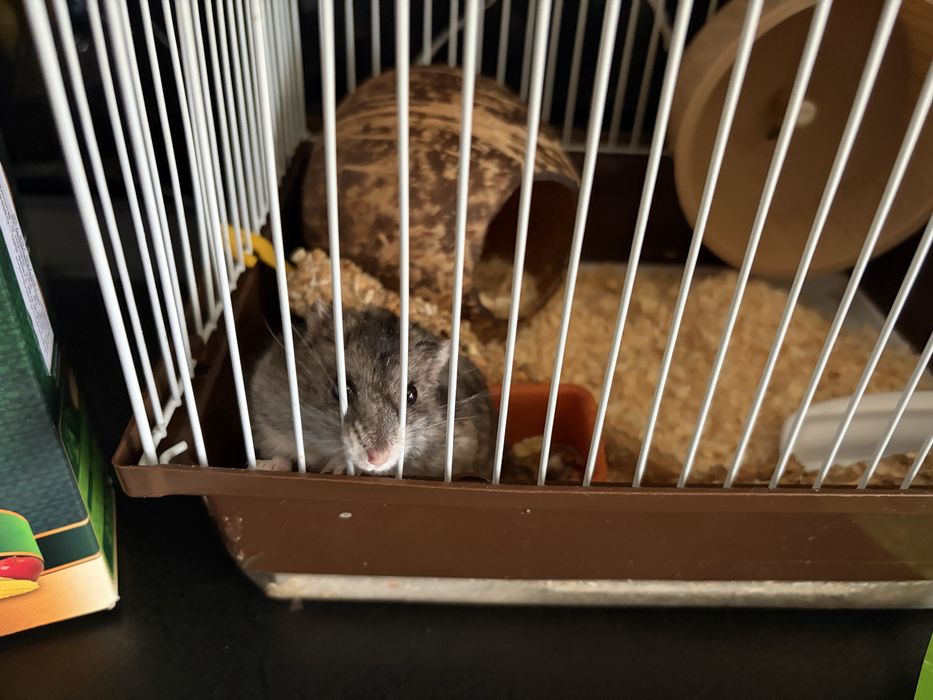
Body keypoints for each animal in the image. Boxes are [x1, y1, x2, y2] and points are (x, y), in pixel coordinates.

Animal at [248, 301, 495, 479]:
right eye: (339, 389)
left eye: (412, 395)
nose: (378, 459)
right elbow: (282, 454)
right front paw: (264, 466)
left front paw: (337, 467)